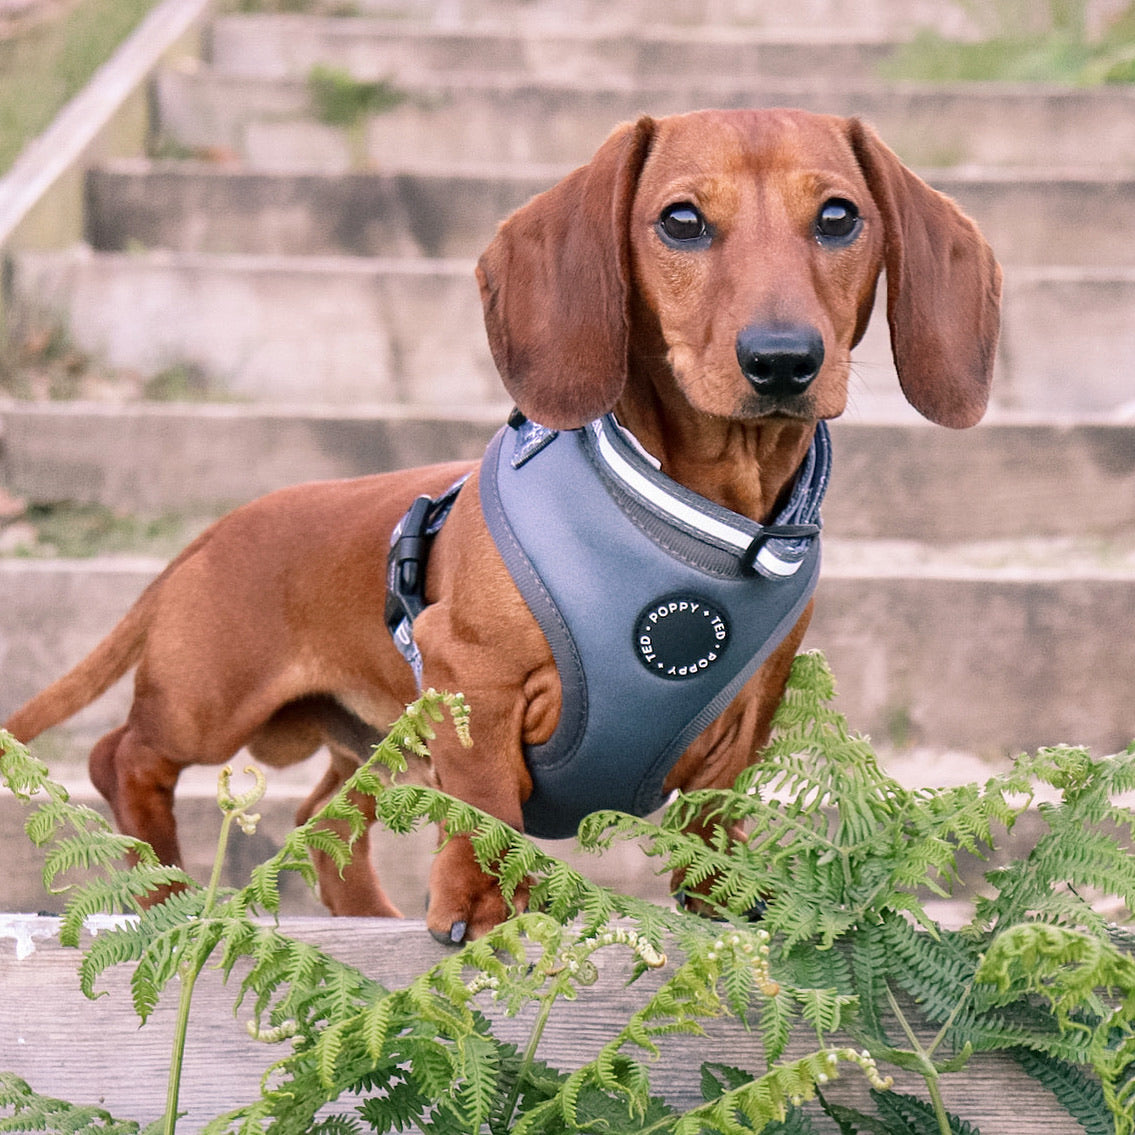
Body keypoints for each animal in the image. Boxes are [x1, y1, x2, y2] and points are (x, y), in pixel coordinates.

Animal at [4, 108, 998, 939]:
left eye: (837, 217)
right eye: (681, 221)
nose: (784, 360)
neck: (704, 515)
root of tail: (207, 538)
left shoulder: (744, 718)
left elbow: (713, 820)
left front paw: (725, 899)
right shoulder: (469, 676)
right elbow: (485, 805)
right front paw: (482, 898)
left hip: (380, 740)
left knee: (321, 818)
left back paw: (362, 913)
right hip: (210, 704)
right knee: (119, 756)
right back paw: (164, 889)